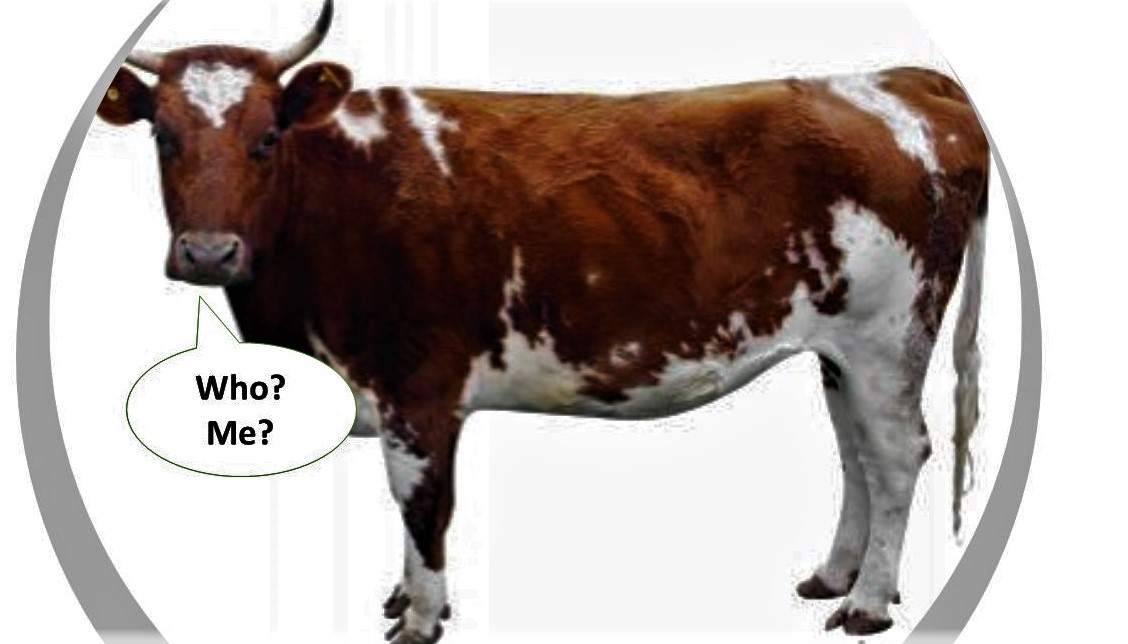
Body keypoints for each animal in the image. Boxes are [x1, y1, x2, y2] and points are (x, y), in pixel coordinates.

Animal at [96, 0, 990, 640]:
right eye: (164, 135)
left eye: (266, 135)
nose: (208, 253)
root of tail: (895, 80)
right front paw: (406, 600)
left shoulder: (418, 390)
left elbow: (422, 504)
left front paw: (421, 617)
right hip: (840, 346)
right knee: (856, 453)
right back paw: (834, 576)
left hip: (887, 335)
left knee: (896, 454)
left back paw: (867, 604)